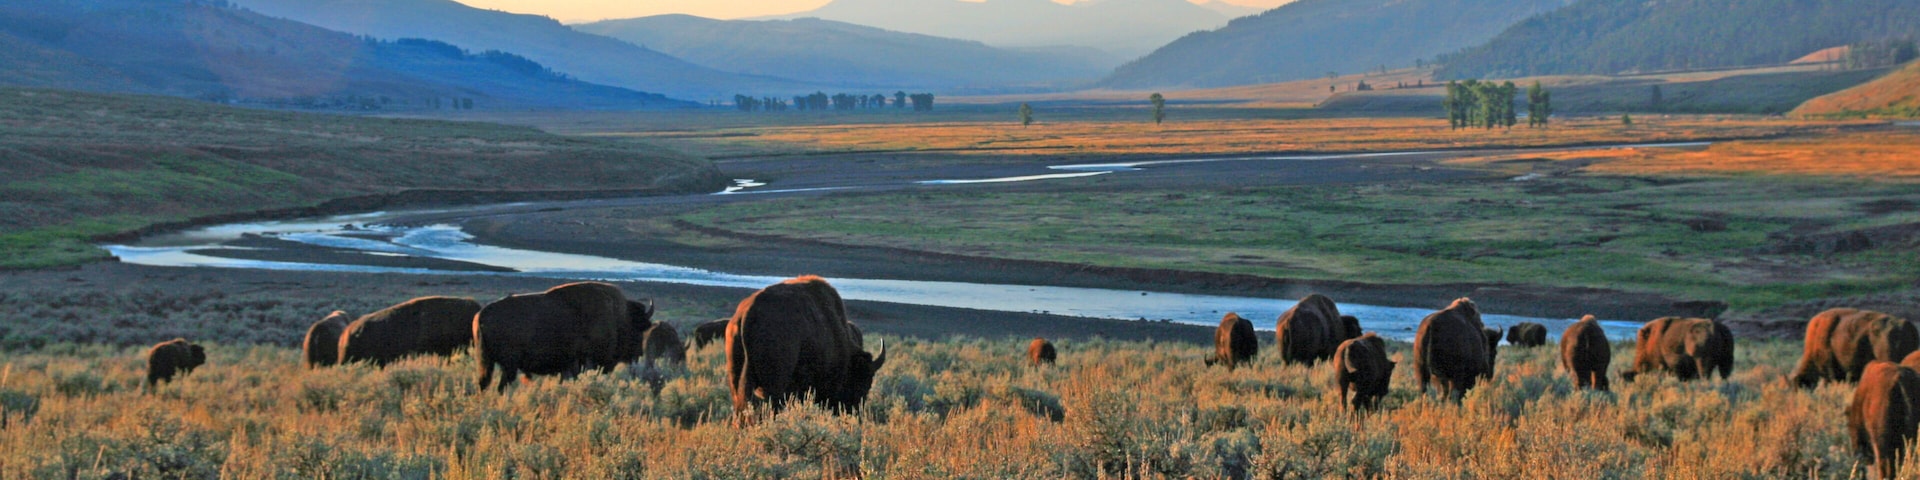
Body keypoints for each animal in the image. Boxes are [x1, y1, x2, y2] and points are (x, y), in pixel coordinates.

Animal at [475, 282, 656, 391]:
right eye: (638, 330)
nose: (639, 353)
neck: (619, 318)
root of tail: (482, 314)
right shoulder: (584, 363)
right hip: (509, 365)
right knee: (501, 385)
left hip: (487, 362)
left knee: (484, 383)